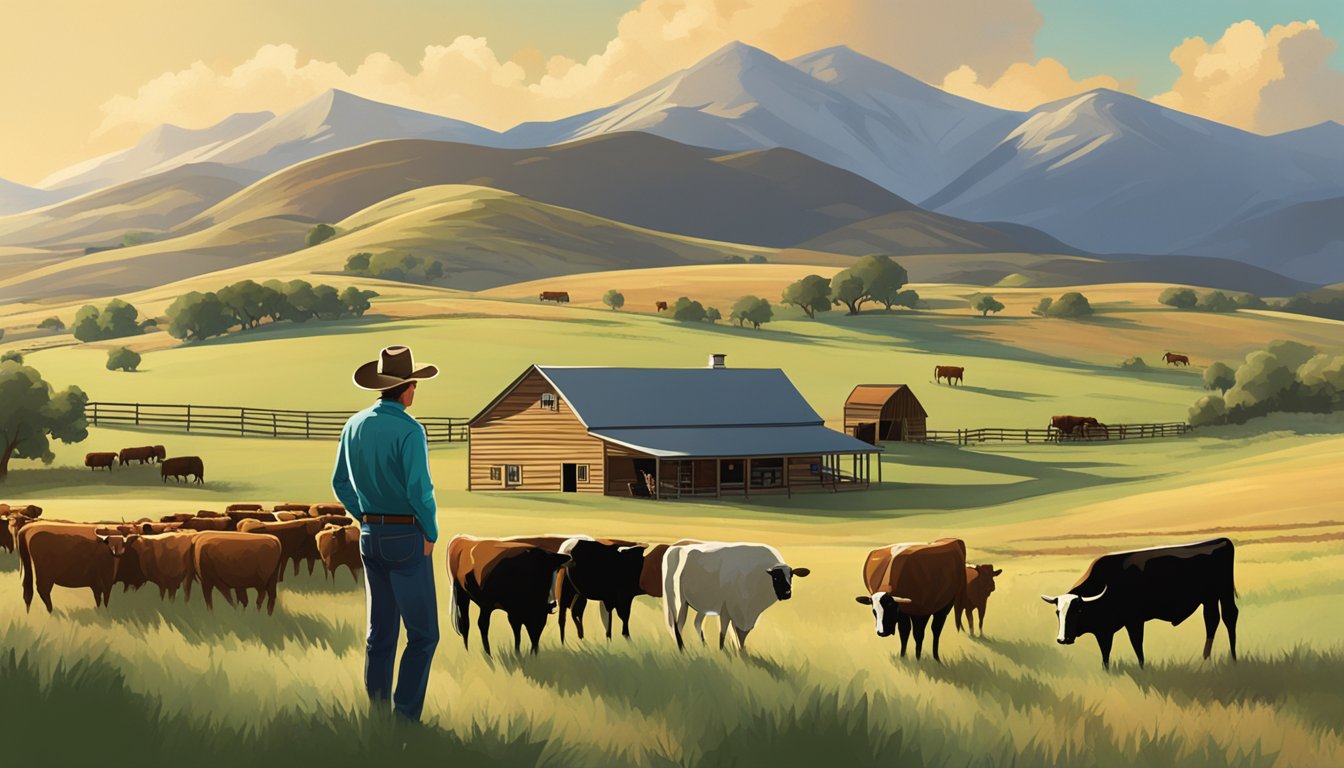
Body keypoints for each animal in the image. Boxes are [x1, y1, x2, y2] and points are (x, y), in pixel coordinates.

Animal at [661, 540, 806, 656]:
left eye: (791, 575)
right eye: (776, 577)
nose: (787, 593)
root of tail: (675, 548)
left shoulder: (743, 613)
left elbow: (741, 635)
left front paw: (742, 653)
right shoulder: (727, 609)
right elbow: (723, 633)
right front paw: (723, 651)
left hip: (701, 606)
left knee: (696, 623)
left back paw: (703, 646)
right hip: (678, 601)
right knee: (678, 625)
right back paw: (682, 650)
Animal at [1037, 538, 1236, 669]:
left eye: (1078, 610)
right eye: (1057, 612)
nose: (1062, 639)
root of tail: (1221, 540)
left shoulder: (1134, 621)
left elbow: (1137, 645)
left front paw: (1142, 668)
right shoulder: (1104, 629)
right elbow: (1105, 652)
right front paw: (1106, 671)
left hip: (1224, 593)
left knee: (1229, 617)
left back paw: (1233, 658)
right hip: (1209, 598)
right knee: (1211, 621)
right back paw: (1206, 658)